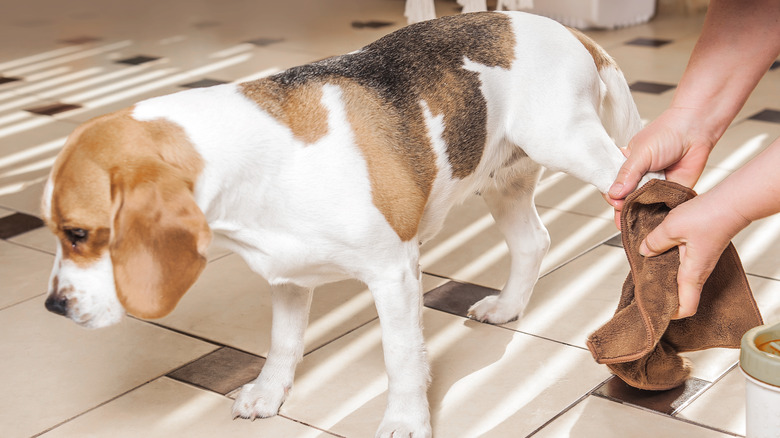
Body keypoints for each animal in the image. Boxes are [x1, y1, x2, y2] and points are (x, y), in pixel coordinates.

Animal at [41, 12, 652, 438]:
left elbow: (401, 357)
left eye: (79, 233)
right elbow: (283, 343)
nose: (54, 307)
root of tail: (566, 30)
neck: (261, 159)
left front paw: (405, 420)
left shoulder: (394, 275)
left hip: (576, 147)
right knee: (533, 241)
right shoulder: (287, 278)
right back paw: (507, 307)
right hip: (503, 178)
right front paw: (269, 394)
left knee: (638, 190)